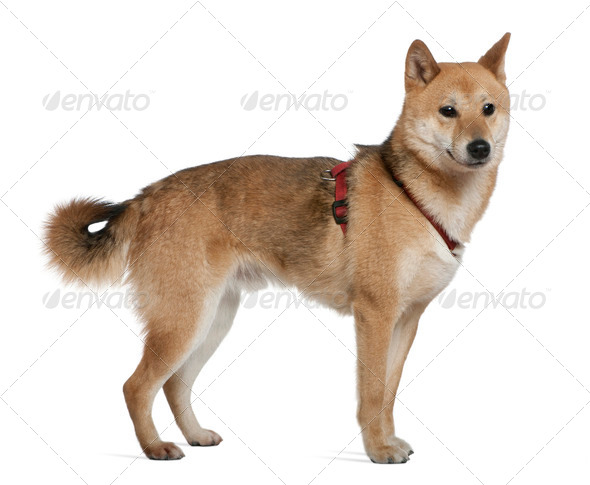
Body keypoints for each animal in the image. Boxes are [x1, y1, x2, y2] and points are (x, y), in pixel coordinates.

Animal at [44, 32, 512, 464]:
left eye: (488, 109)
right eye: (448, 111)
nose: (480, 148)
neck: (414, 194)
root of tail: (146, 196)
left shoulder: (406, 321)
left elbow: (388, 393)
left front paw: (387, 440)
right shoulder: (375, 317)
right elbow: (371, 395)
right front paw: (378, 450)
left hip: (211, 320)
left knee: (175, 384)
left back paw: (194, 435)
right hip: (183, 320)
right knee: (137, 386)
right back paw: (155, 447)